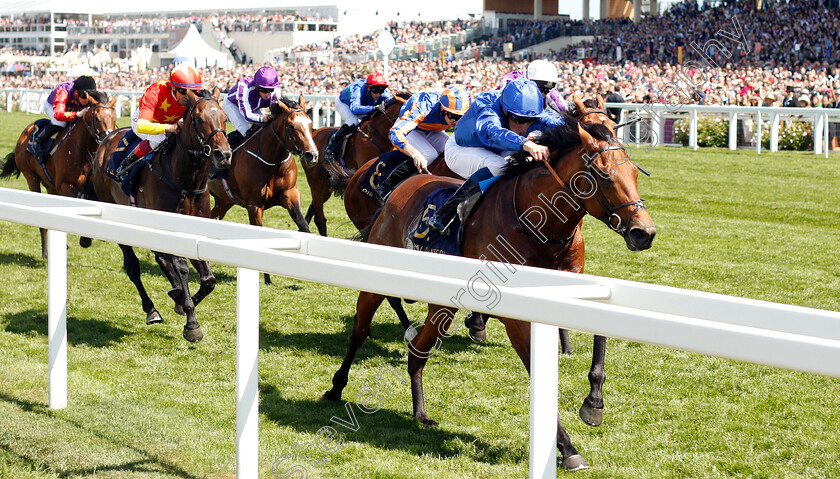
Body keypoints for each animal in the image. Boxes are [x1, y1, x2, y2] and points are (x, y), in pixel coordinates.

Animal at [1, 93, 118, 258]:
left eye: (114, 116)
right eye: (96, 118)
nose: (106, 139)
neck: (82, 148)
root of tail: (25, 133)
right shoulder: (63, 185)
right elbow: (79, 201)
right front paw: (85, 238)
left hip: (50, 185)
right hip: (32, 178)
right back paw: (46, 252)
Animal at [87, 90, 231, 344]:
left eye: (224, 117)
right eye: (200, 119)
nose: (223, 155)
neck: (185, 180)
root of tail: (105, 142)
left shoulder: (196, 228)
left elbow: (208, 279)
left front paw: (185, 300)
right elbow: (182, 267)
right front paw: (192, 324)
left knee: (159, 256)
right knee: (133, 266)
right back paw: (151, 309)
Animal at [322, 115, 656, 468]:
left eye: (634, 172)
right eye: (605, 175)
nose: (644, 232)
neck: (539, 223)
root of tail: (397, 191)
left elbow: (600, 336)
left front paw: (593, 404)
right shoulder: (517, 315)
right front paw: (568, 448)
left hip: (442, 304)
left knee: (417, 350)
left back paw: (420, 413)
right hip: (379, 279)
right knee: (360, 330)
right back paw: (336, 387)